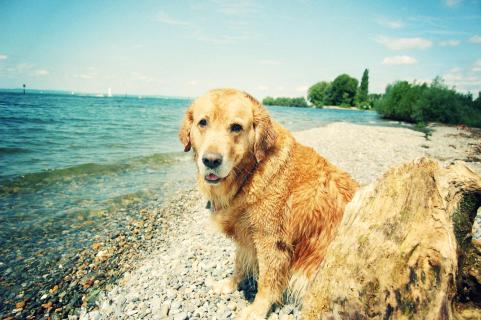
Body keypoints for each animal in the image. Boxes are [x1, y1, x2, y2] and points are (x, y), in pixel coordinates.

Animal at [178, 89, 358, 318]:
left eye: (236, 127)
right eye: (203, 122)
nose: (211, 160)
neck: (251, 172)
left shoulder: (271, 241)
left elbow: (267, 281)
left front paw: (257, 309)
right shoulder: (245, 232)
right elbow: (239, 264)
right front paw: (230, 284)